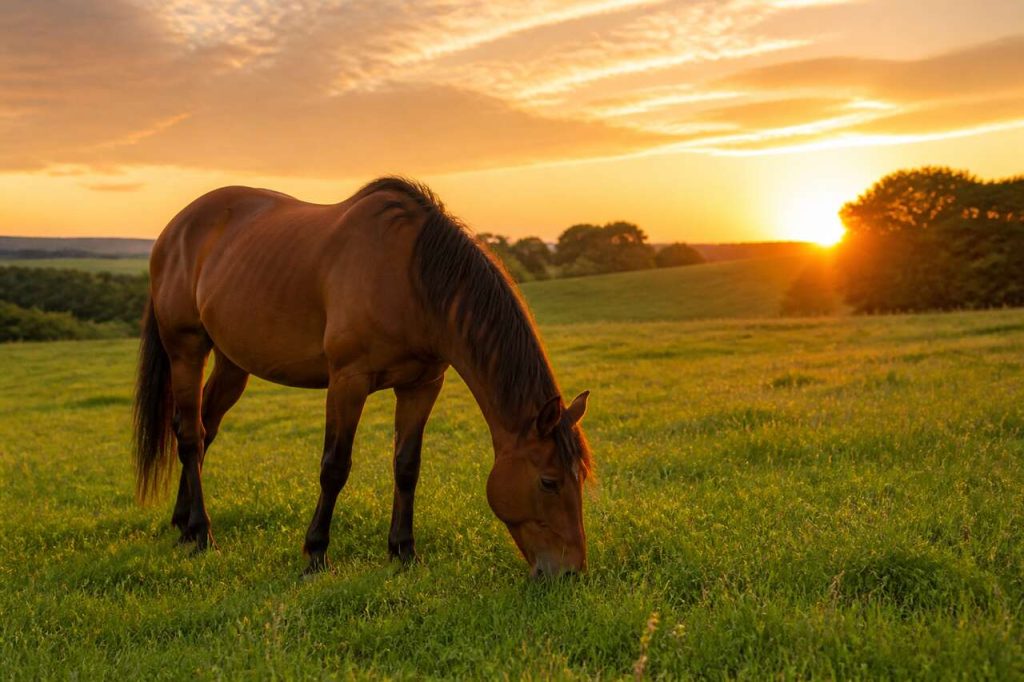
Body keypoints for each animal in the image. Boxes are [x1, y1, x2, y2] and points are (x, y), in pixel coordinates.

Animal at [132, 177, 593, 577]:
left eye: (580, 478)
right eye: (549, 482)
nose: (569, 572)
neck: (412, 278)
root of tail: (175, 229)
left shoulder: (422, 386)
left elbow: (407, 467)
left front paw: (403, 552)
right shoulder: (347, 383)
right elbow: (335, 467)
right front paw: (316, 555)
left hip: (232, 363)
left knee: (205, 428)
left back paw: (182, 523)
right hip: (186, 349)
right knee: (190, 435)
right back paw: (200, 532)